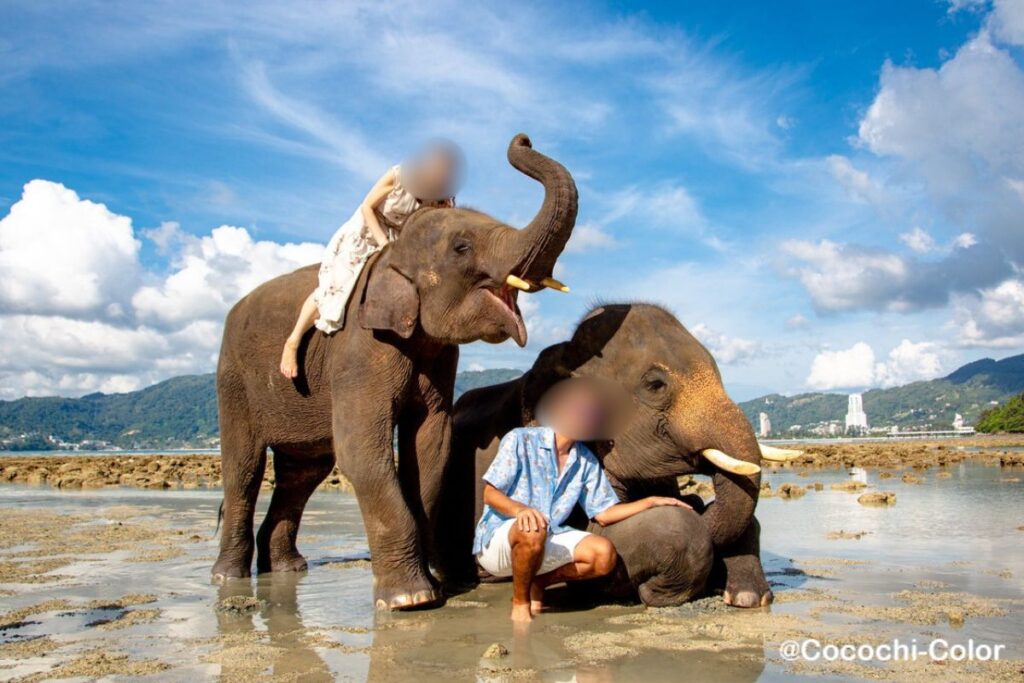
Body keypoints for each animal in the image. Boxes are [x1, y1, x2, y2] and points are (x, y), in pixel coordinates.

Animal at [212, 134, 578, 611]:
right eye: (462, 247)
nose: (522, 138)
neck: (391, 256)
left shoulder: (438, 357)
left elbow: (431, 445)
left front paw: (437, 587)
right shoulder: (360, 347)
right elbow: (361, 450)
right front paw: (410, 599)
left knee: (302, 473)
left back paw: (290, 569)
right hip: (232, 379)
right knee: (243, 470)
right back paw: (227, 577)